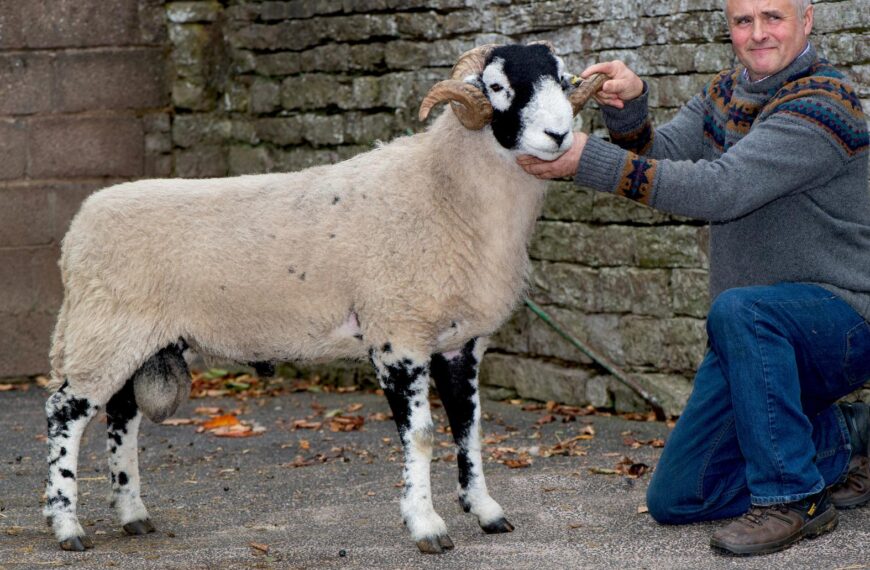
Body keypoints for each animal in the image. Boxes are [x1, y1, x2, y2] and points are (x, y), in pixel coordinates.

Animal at [43, 42, 603, 554]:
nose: (559, 136)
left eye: (563, 80)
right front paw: (426, 526)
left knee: (121, 417)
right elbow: (421, 436)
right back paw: (67, 526)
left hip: (136, 340)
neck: (443, 190)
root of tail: (77, 229)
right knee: (64, 413)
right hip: (103, 330)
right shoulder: (397, 335)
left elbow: (469, 427)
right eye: (497, 86)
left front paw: (485, 511)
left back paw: (133, 515)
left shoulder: (459, 343)